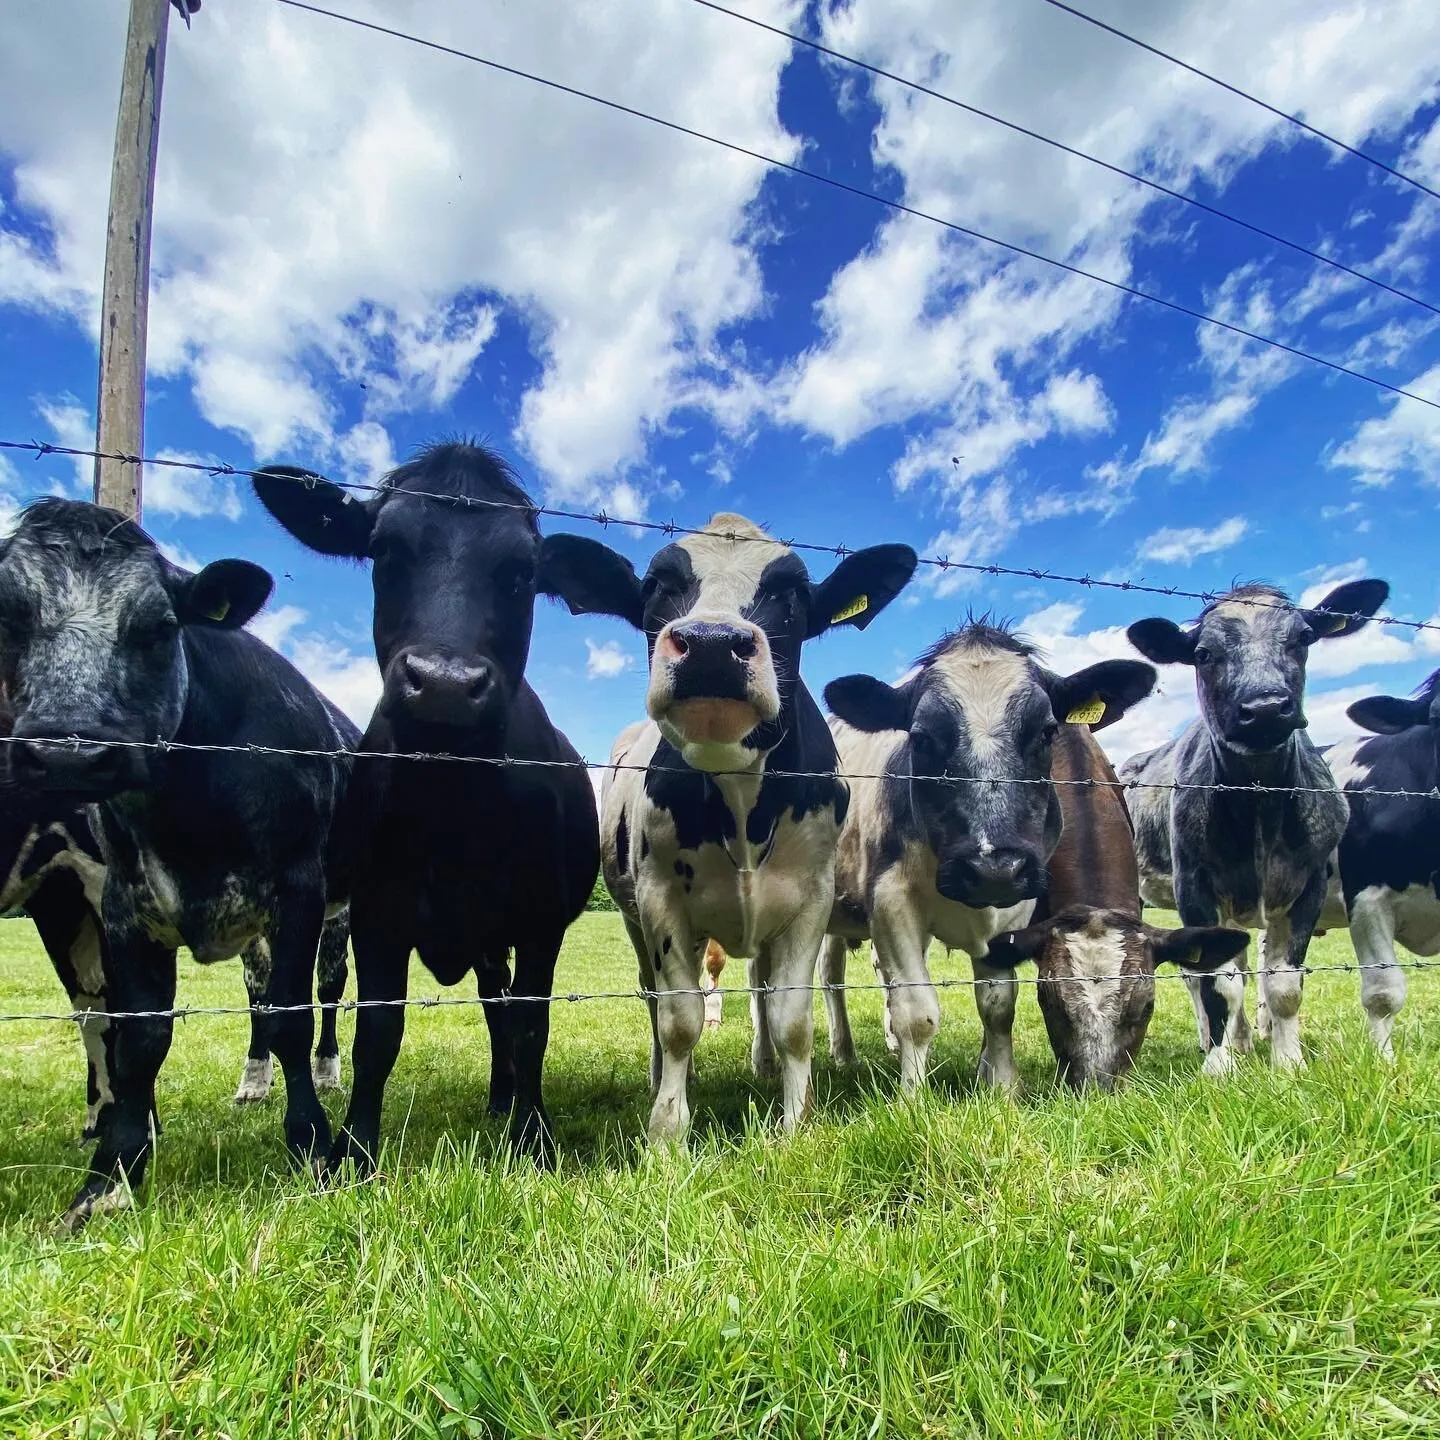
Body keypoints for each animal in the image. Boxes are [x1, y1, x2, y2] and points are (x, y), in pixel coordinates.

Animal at [0, 498, 355, 1227]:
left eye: (159, 628)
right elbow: (137, 1041)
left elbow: (294, 1015)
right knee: (252, 994)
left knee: (326, 992)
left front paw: (312, 1146)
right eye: (7, 616)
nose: (67, 755)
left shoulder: (299, 892)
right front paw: (109, 1176)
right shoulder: (122, 906)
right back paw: (253, 1081)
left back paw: (328, 1072)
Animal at [251, 442, 598, 1172]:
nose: (443, 684)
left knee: (502, 1007)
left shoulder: (541, 919)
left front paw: (534, 1136)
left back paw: (508, 1101)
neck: (452, 805)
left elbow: (531, 1023)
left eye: (522, 571)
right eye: (384, 548)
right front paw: (353, 1148)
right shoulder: (375, 914)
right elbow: (378, 1031)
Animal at [541, 514, 917, 1141]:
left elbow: (791, 1016)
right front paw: (667, 1130)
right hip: (635, 917)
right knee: (653, 996)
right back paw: (663, 1077)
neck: (741, 797)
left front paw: (795, 1123)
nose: (713, 643)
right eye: (656, 586)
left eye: (793, 592)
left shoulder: (810, 899)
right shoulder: (660, 898)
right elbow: (679, 1019)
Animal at [815, 622, 1157, 1090]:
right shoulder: (890, 900)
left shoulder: (1016, 910)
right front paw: (912, 1097)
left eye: (1048, 731)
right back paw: (827, 1053)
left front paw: (1001, 1085)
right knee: (826, 975)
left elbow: (998, 1003)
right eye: (920, 737)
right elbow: (917, 1011)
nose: (993, 868)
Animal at [1121, 578, 1388, 1075]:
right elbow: (1219, 984)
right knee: (1200, 976)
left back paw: (1241, 1040)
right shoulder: (1194, 884)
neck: (1260, 802)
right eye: (1203, 653)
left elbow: (1282, 983)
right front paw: (1218, 1065)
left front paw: (1288, 1062)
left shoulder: (1309, 884)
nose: (1265, 707)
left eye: (1304, 637)